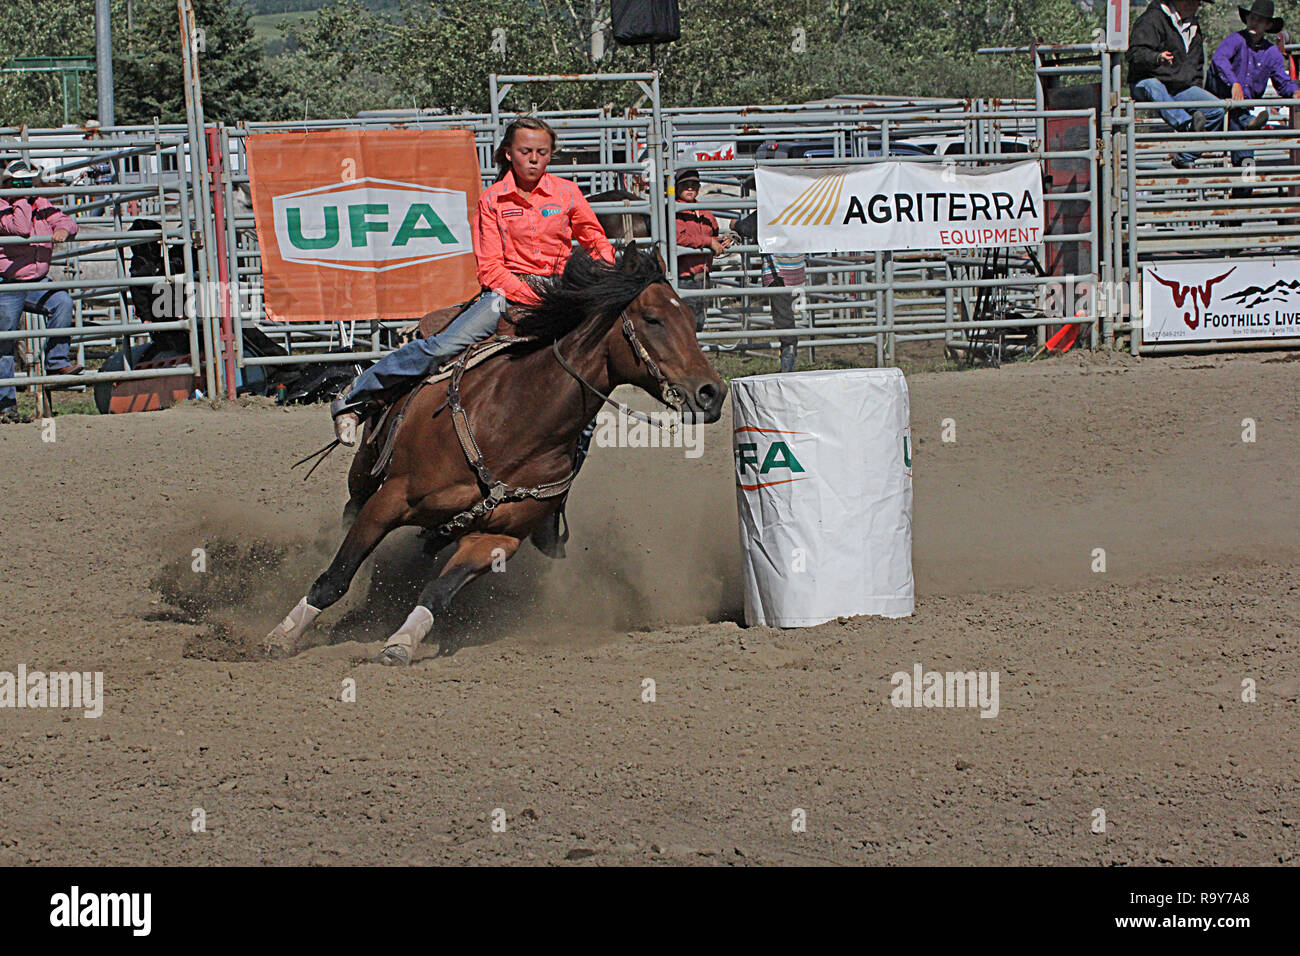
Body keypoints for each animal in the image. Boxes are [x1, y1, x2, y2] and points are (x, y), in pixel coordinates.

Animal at [264, 246, 727, 665]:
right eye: (653, 319)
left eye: (691, 320)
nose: (712, 393)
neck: (515, 422)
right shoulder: (391, 499)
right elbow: (336, 577)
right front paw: (280, 638)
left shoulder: (497, 540)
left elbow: (438, 592)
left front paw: (402, 643)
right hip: (365, 470)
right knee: (349, 509)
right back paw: (346, 412)